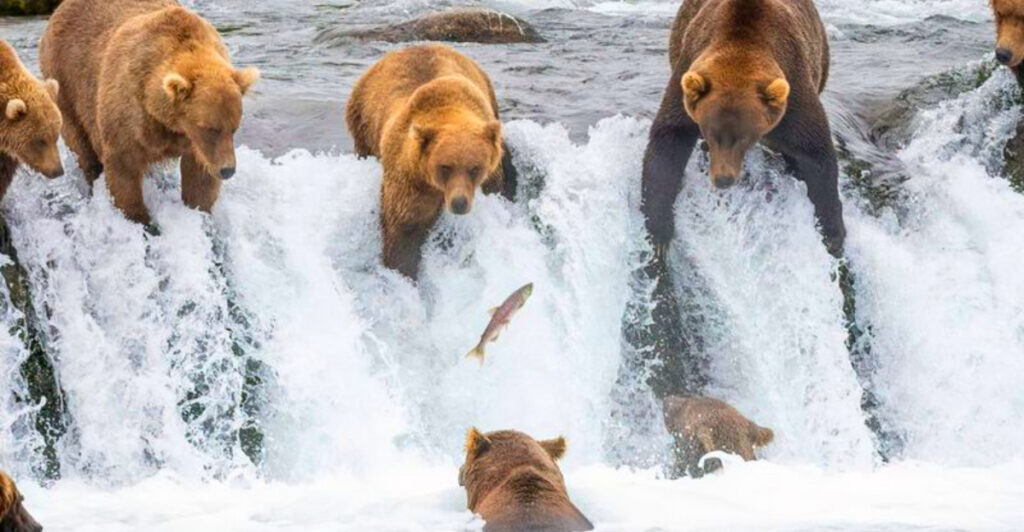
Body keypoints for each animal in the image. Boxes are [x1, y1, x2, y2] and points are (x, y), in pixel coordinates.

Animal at [39, 0, 259, 225]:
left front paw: (199, 209)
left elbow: (199, 177)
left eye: (234, 128)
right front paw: (140, 219)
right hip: (66, 81)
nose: (228, 170)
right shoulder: (130, 117)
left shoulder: (192, 142)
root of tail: (59, 8)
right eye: (209, 128)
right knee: (81, 144)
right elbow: (123, 171)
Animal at [346, 44, 517, 279]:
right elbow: (405, 228)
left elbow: (497, 186)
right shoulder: (411, 181)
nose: (459, 203)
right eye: (445, 167)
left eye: (474, 168)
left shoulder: (490, 172)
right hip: (363, 124)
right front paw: (402, 270)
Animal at [642, 0, 845, 257]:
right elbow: (669, 139)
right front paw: (660, 232)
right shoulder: (687, 72)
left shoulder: (793, 87)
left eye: (745, 138)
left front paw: (833, 234)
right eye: (709, 132)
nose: (723, 179)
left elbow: (815, 151)